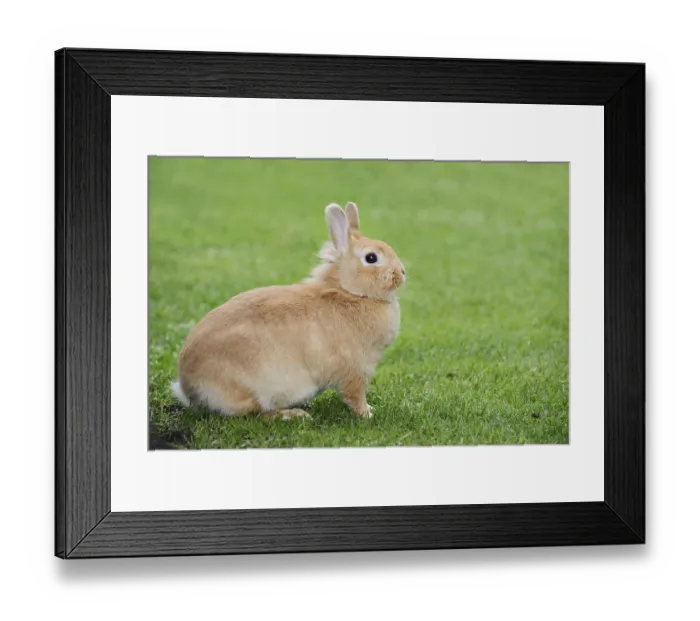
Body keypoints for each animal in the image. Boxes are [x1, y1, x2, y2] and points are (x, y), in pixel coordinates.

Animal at [171, 201, 406, 420]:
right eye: (371, 258)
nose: (402, 272)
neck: (350, 293)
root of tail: (188, 388)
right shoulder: (356, 370)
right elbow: (356, 397)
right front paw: (368, 414)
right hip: (256, 389)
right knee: (256, 414)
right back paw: (293, 415)